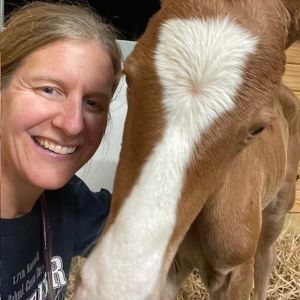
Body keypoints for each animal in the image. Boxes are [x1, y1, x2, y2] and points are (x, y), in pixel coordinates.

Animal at [75, 0, 300, 298]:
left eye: (258, 128)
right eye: (128, 75)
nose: (113, 287)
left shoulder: (236, 275)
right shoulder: (172, 267)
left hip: (277, 210)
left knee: (266, 257)